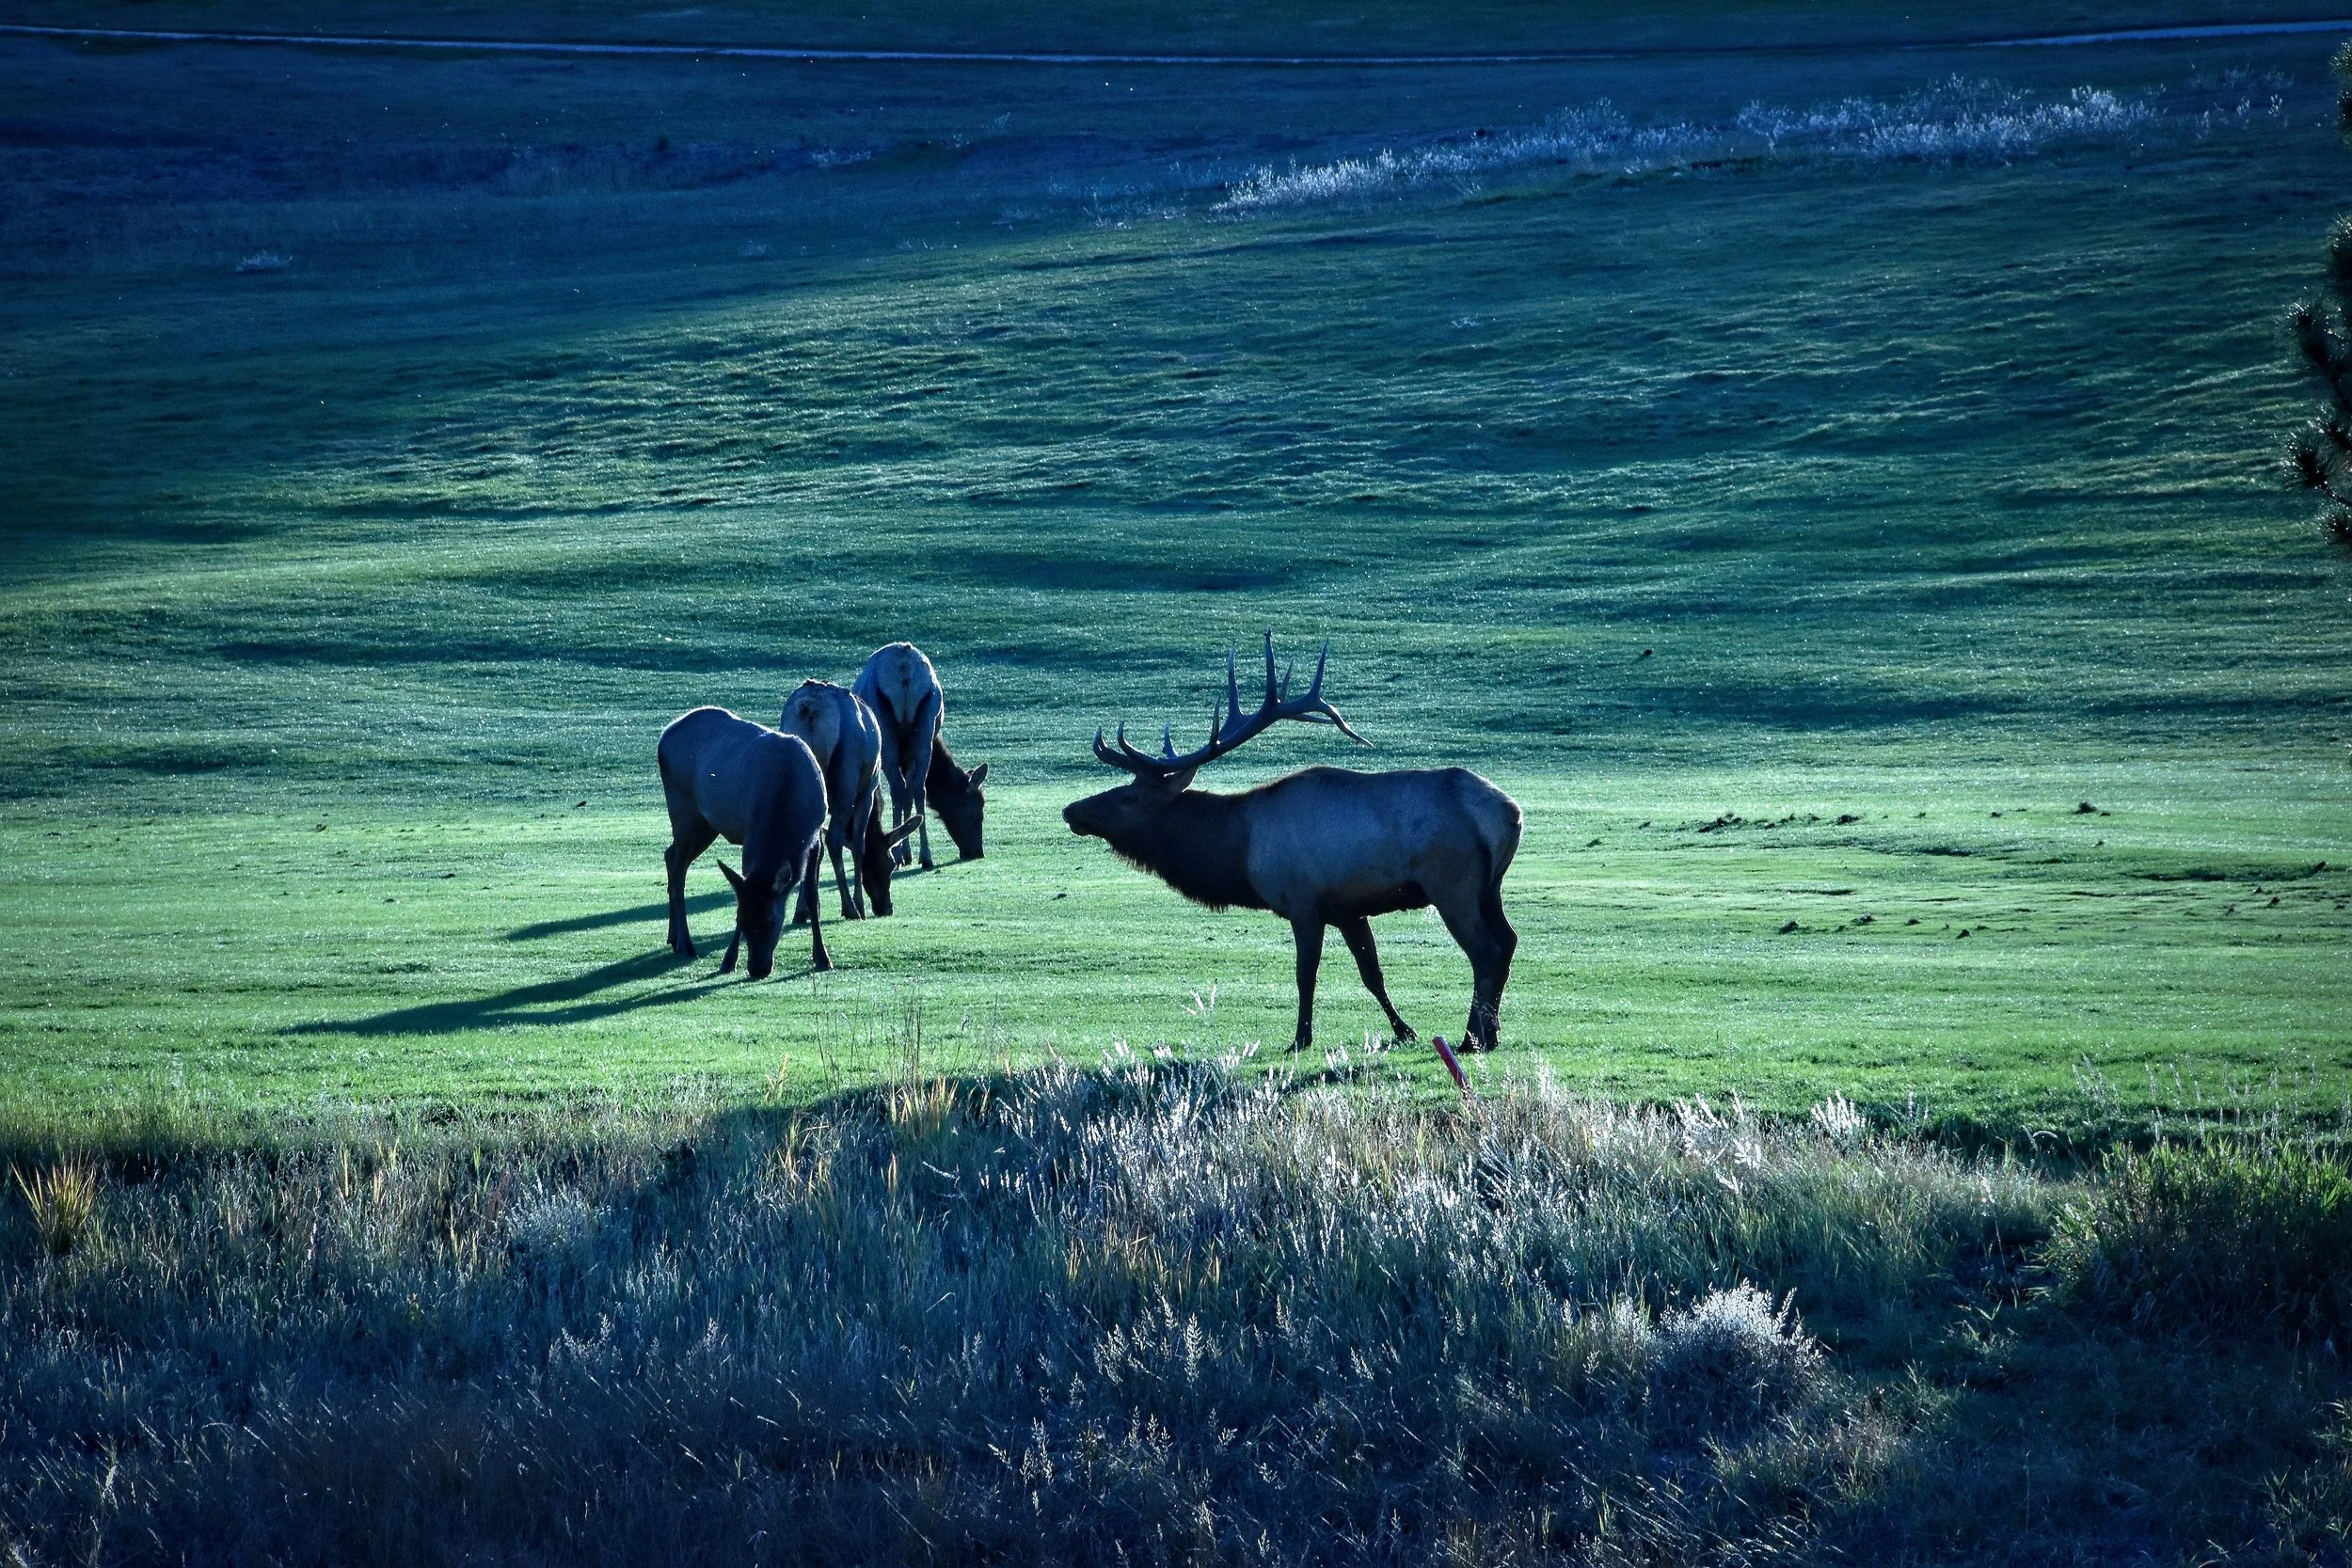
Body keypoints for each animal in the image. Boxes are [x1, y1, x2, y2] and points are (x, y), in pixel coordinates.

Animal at [657, 706, 834, 979]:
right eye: (740, 920)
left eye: (773, 922)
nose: (758, 969)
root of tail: (664, 735)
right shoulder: (750, 835)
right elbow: (744, 887)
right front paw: (728, 961)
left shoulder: (816, 838)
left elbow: (812, 896)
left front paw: (822, 957)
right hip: (684, 812)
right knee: (678, 870)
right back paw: (686, 944)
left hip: (704, 824)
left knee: (670, 856)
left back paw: (673, 938)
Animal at [853, 642, 990, 868]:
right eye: (979, 812)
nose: (978, 852)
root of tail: (904, 669)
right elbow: (910, 793)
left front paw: (903, 852)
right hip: (926, 724)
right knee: (918, 787)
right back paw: (925, 856)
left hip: (888, 734)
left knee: (899, 788)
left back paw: (901, 855)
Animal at [1063, 637, 1522, 1055]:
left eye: (1129, 797)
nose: (1071, 811)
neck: (1240, 851)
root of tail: (1509, 811)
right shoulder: (1348, 908)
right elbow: (1371, 972)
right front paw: (1403, 1031)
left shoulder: (1303, 902)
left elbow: (1306, 973)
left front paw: (1300, 1039)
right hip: (1490, 888)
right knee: (1508, 942)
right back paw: (1492, 1032)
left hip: (1452, 883)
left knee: (1485, 950)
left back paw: (1472, 1038)